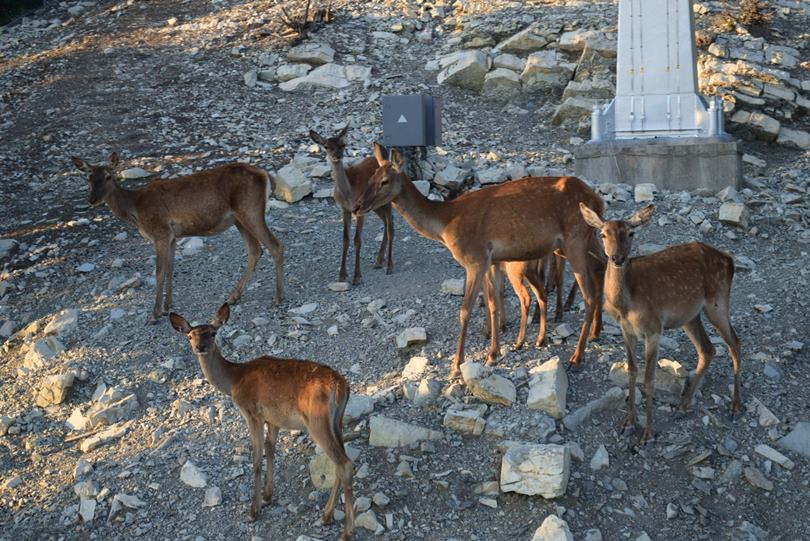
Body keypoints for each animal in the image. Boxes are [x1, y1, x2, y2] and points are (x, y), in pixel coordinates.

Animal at [71, 150, 284, 322]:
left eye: (108, 176)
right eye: (88, 179)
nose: (92, 199)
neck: (136, 210)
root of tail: (266, 175)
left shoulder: (161, 232)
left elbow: (159, 271)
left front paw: (154, 314)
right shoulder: (172, 236)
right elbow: (171, 268)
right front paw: (168, 307)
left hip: (251, 211)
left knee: (275, 245)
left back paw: (278, 297)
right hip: (239, 219)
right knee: (255, 250)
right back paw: (233, 297)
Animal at [170, 302, 354, 536]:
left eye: (213, 333)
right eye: (189, 335)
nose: (200, 347)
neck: (234, 381)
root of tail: (340, 386)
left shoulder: (252, 412)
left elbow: (257, 459)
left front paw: (253, 511)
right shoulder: (273, 419)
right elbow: (271, 449)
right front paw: (267, 496)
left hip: (317, 420)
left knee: (344, 463)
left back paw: (346, 532)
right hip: (337, 421)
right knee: (341, 461)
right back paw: (326, 516)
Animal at [308, 125, 392, 282]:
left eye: (343, 144)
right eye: (326, 146)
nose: (337, 155)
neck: (348, 194)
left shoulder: (360, 210)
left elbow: (357, 240)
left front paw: (357, 276)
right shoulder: (344, 210)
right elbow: (345, 240)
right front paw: (342, 274)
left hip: (387, 199)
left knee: (391, 225)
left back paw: (388, 265)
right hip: (375, 205)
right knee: (385, 221)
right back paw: (379, 260)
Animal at [356, 144, 604, 380]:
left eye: (385, 181)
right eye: (370, 177)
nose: (358, 206)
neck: (445, 225)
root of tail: (598, 199)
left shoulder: (474, 259)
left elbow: (465, 310)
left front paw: (456, 365)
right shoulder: (492, 260)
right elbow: (493, 303)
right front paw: (493, 354)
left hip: (574, 239)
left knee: (589, 295)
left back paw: (576, 357)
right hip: (589, 238)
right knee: (602, 265)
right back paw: (594, 333)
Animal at [576, 202, 740, 442]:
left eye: (631, 233)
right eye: (603, 233)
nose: (617, 258)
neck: (626, 304)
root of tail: (730, 260)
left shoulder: (653, 329)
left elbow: (648, 378)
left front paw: (648, 433)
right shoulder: (627, 330)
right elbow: (632, 371)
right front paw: (628, 422)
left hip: (717, 301)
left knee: (734, 343)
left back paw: (735, 406)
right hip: (689, 315)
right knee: (707, 349)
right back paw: (682, 405)